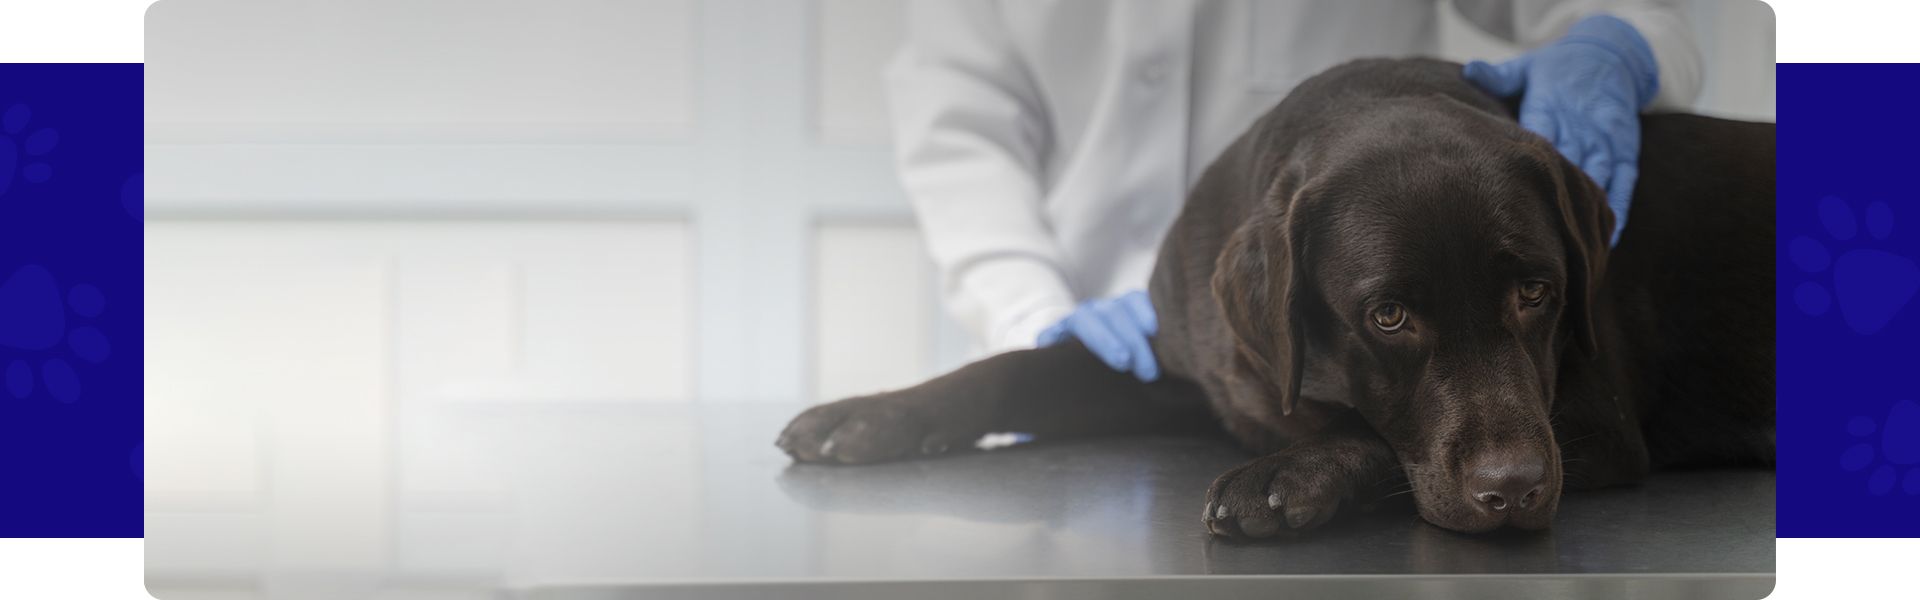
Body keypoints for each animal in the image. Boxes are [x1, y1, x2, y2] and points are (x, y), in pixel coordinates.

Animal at [775, 58, 1766, 538]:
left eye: (1537, 292)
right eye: (1388, 316)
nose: (1514, 488)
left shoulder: (1592, 418)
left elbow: (1367, 432)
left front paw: (1286, 477)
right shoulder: (1185, 372)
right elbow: (1019, 368)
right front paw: (868, 414)